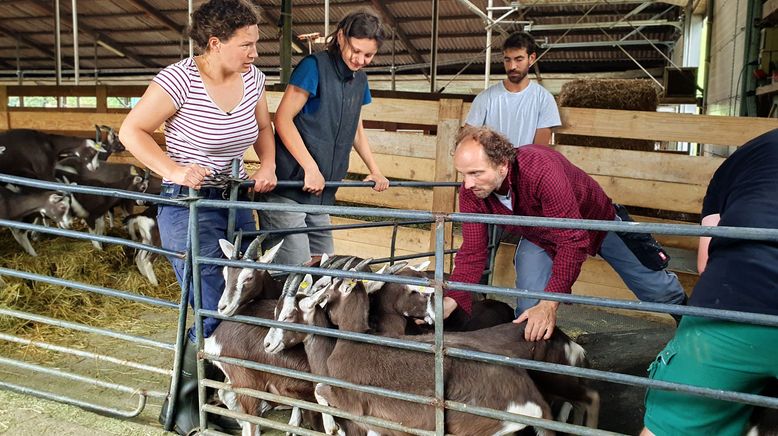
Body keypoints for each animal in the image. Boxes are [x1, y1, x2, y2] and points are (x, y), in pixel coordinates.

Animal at [266, 266, 552, 436]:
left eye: (289, 315)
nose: (268, 345)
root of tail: (533, 400)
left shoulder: (359, 411)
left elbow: (320, 389)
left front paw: (331, 426)